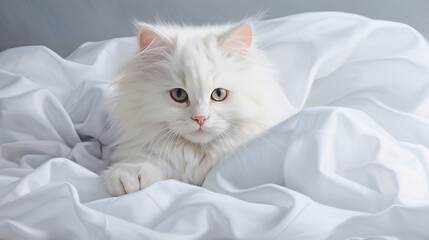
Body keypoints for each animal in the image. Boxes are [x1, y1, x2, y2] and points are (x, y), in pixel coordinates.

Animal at [101, 21, 290, 196]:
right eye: (178, 94)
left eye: (219, 94)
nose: (200, 118)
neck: (198, 155)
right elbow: (144, 163)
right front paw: (130, 179)